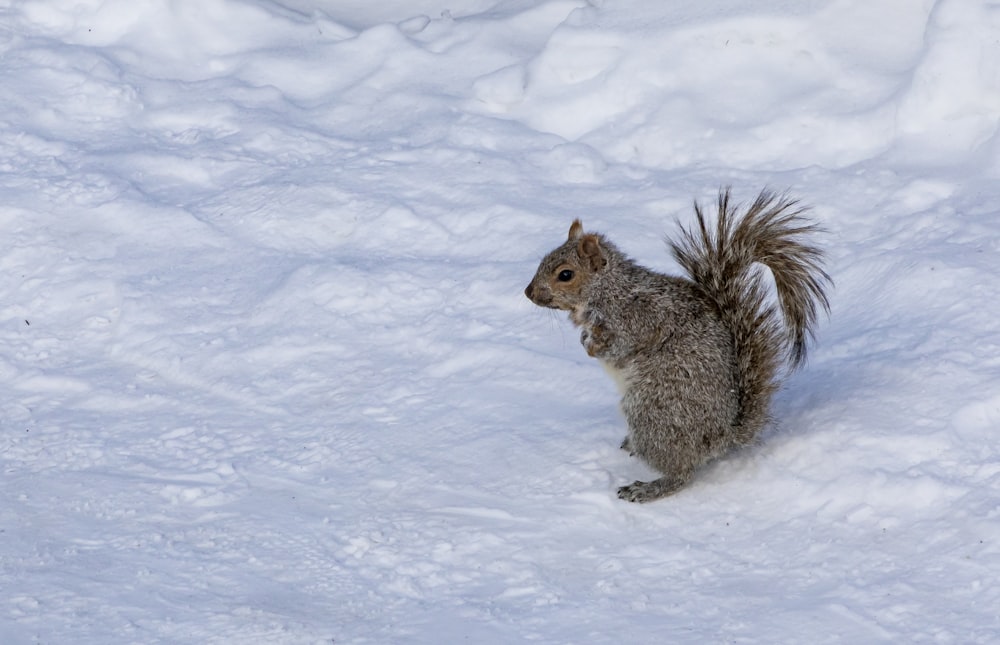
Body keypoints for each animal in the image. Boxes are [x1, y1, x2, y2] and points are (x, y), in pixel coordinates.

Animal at [524, 187, 828, 504]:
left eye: (565, 274)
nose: (528, 292)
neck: (609, 291)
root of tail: (723, 435)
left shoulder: (640, 319)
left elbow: (619, 347)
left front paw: (592, 345)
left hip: (653, 412)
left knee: (681, 473)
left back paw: (648, 488)